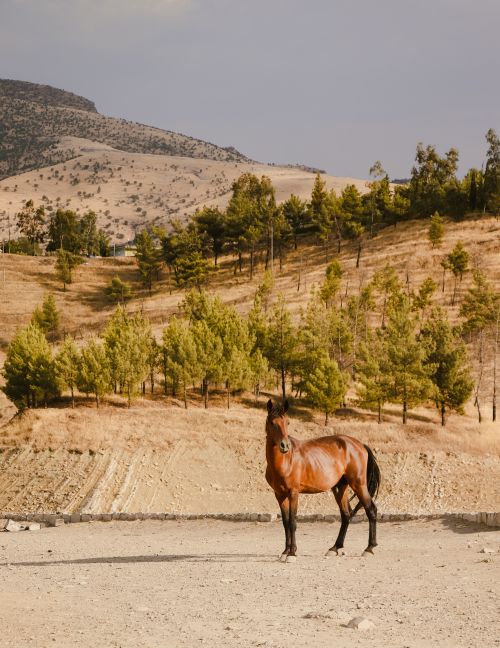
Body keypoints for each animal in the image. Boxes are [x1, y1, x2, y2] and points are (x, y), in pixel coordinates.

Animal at [265, 399, 381, 562]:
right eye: (272, 422)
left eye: (287, 422)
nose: (285, 445)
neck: (286, 462)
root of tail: (359, 445)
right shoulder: (280, 495)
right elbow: (285, 522)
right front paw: (285, 552)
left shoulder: (294, 493)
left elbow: (293, 522)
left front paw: (292, 553)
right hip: (340, 489)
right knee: (346, 515)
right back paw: (335, 548)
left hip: (359, 485)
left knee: (371, 510)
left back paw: (369, 548)